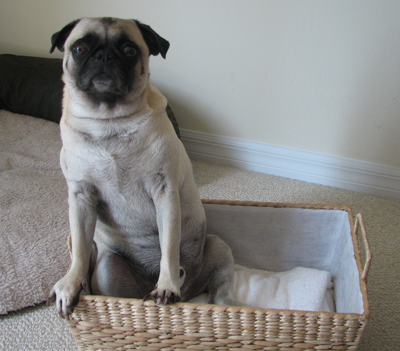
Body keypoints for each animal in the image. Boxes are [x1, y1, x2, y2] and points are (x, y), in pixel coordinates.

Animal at [48, 17, 239, 318]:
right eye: (79, 48)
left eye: (129, 50)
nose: (104, 56)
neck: (109, 123)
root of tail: (189, 294)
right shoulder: (81, 196)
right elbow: (79, 246)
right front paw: (71, 282)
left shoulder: (165, 193)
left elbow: (169, 247)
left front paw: (166, 285)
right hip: (106, 270)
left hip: (217, 247)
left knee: (220, 289)